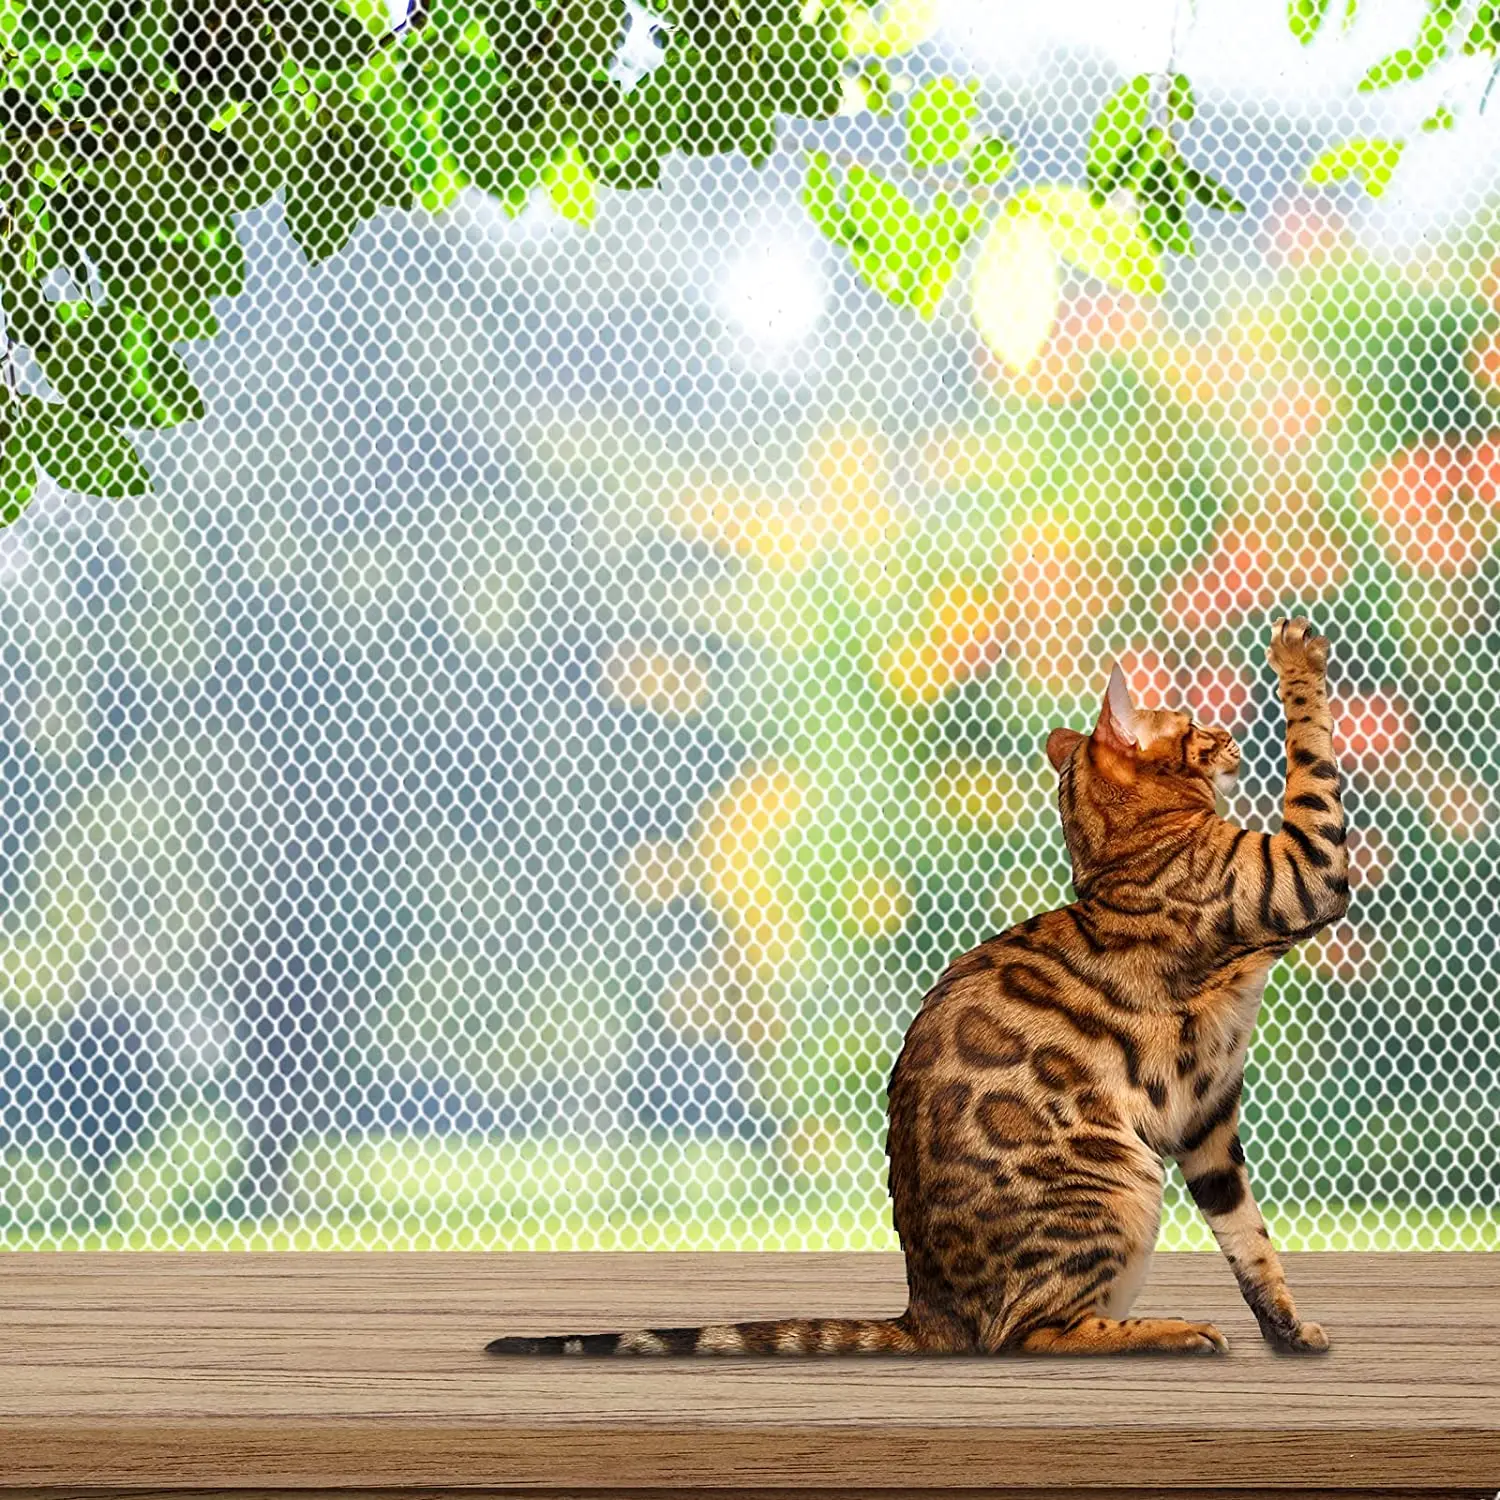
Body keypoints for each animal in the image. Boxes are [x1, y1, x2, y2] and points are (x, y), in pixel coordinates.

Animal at [489, 615, 1350, 1356]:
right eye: (1193, 726)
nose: (1230, 738)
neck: (1121, 853)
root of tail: (926, 1309)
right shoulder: (1302, 872)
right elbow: (1314, 761)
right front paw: (1297, 662)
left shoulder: (1206, 1119)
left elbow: (1248, 1236)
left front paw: (1286, 1327)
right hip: (1118, 1182)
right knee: (1027, 1334)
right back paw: (1171, 1332)